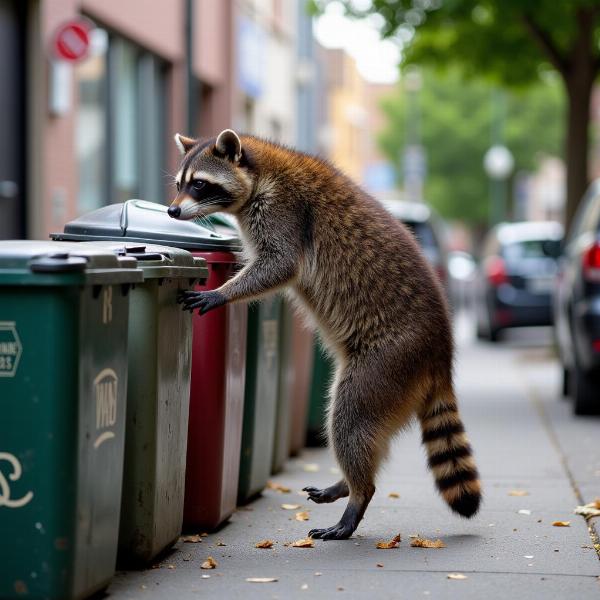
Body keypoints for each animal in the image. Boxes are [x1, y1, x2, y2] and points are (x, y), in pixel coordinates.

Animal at [169, 129, 482, 540]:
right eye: (179, 184)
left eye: (200, 184)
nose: (172, 212)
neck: (259, 170)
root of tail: (441, 353)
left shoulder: (285, 213)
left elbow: (279, 265)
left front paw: (224, 291)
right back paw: (347, 484)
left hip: (390, 359)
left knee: (349, 420)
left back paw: (359, 494)